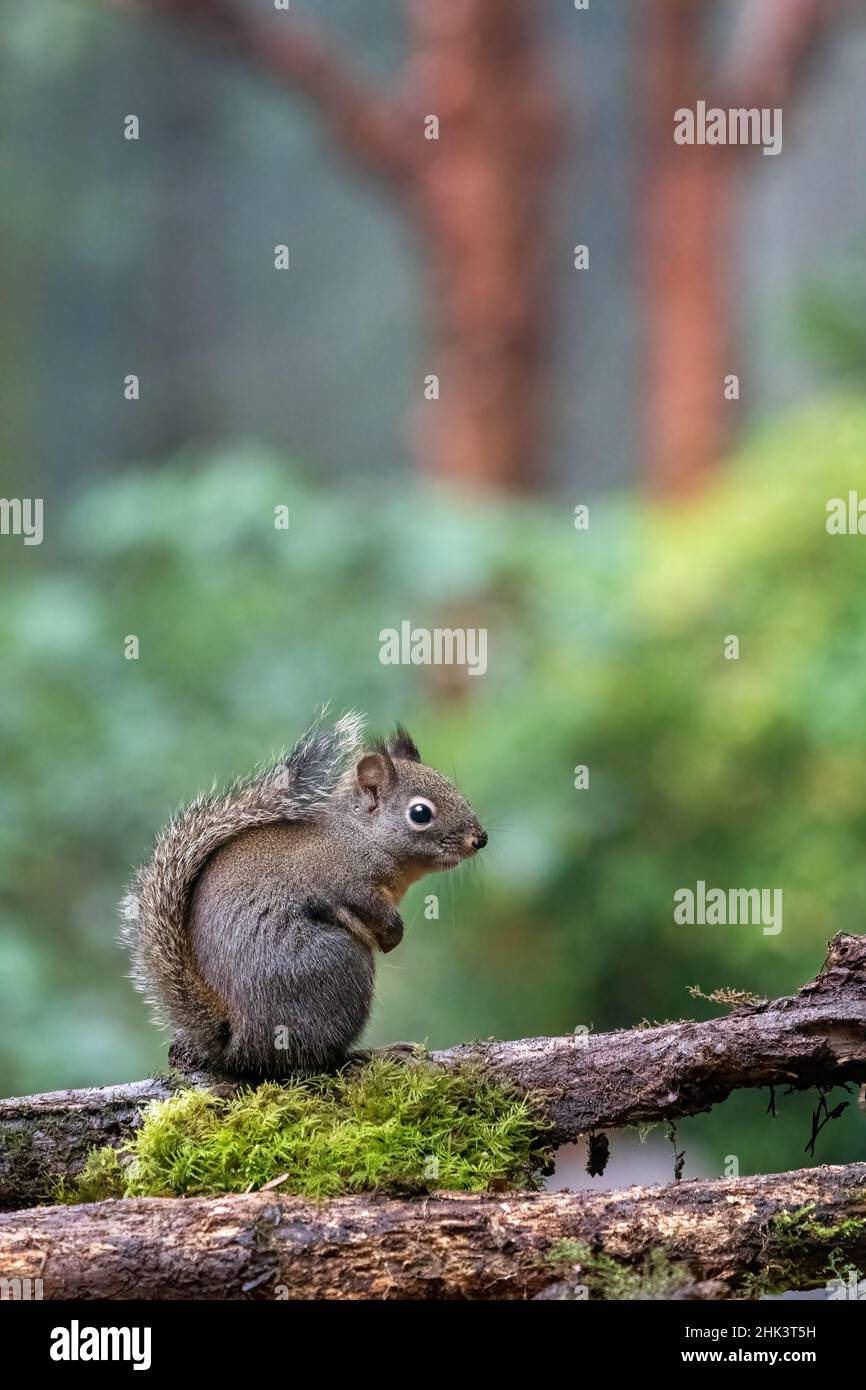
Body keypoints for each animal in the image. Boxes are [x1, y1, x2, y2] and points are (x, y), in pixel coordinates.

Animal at [120, 712, 487, 1078]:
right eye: (420, 813)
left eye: (456, 790)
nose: (480, 839)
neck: (361, 835)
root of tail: (238, 1044)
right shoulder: (345, 880)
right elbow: (367, 906)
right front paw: (393, 934)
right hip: (337, 964)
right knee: (318, 1058)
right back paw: (374, 1054)